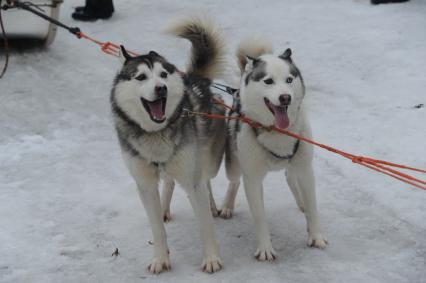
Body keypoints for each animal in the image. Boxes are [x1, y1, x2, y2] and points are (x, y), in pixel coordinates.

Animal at [111, 18, 226, 276]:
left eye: (163, 74)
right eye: (141, 77)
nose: (161, 87)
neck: (156, 133)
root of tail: (196, 79)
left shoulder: (192, 178)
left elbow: (204, 224)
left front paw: (212, 258)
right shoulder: (144, 184)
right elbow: (156, 229)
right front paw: (160, 258)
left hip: (208, 161)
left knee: (205, 180)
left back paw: (210, 205)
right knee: (169, 181)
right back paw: (163, 208)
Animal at [221, 38, 328, 260]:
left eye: (289, 79)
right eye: (268, 81)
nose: (285, 97)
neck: (277, 132)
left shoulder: (306, 170)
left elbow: (313, 206)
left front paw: (315, 236)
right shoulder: (252, 179)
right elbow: (260, 216)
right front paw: (265, 248)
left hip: (296, 163)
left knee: (290, 176)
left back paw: (301, 201)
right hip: (233, 164)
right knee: (234, 181)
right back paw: (227, 205)